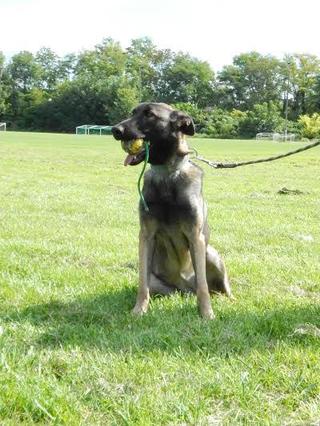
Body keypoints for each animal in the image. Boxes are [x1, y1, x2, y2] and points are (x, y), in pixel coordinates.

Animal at [112, 101, 230, 318]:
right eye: (132, 112)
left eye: (149, 115)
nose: (115, 130)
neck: (167, 174)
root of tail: (185, 289)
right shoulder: (146, 235)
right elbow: (142, 285)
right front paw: (138, 310)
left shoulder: (196, 236)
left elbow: (203, 286)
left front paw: (206, 314)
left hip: (211, 254)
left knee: (218, 289)